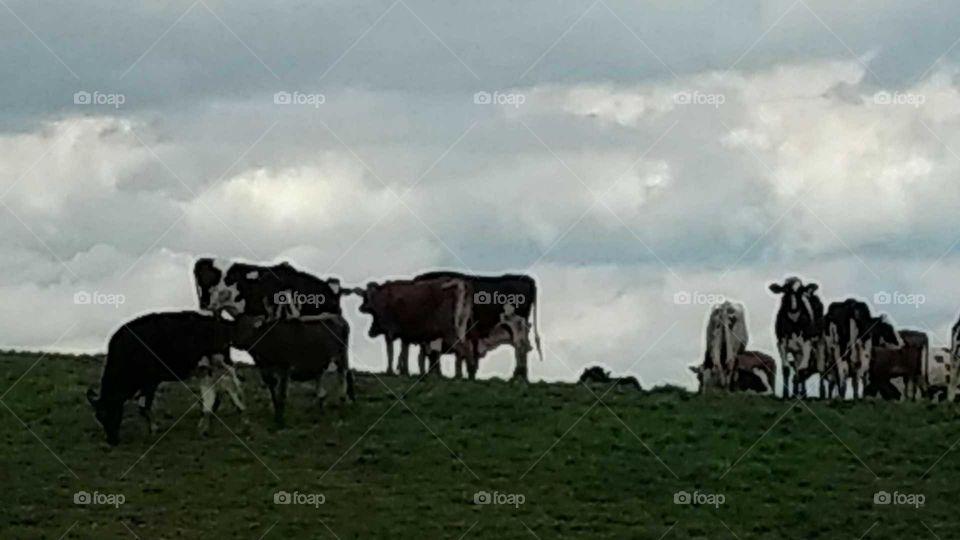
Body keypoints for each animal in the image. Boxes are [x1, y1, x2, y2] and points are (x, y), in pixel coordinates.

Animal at [86, 312, 240, 445]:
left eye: (109, 412)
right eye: (98, 417)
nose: (111, 441)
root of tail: (220, 324)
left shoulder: (151, 381)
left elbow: (144, 407)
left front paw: (154, 429)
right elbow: (143, 407)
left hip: (219, 362)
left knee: (231, 380)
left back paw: (236, 406)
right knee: (221, 388)